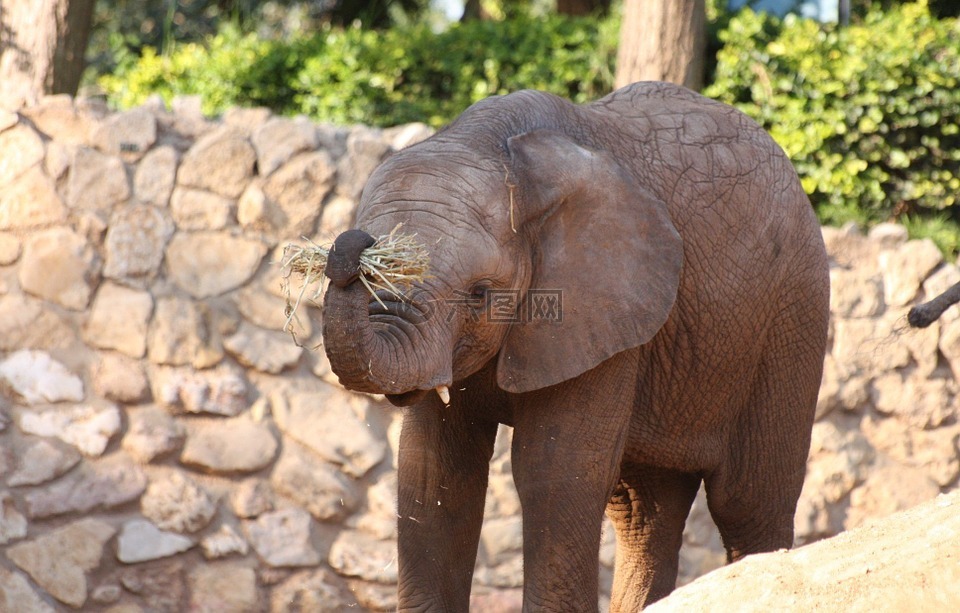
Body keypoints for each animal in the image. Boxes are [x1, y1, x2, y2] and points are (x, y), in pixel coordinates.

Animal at [320, 81, 830, 611]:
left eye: (480, 294)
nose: (352, 246)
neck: (491, 143)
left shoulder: (603, 305)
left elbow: (556, 473)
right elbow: (433, 472)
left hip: (792, 315)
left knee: (748, 501)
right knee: (645, 511)